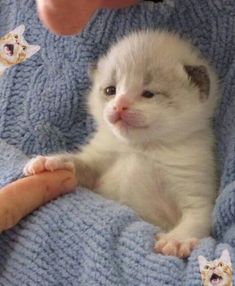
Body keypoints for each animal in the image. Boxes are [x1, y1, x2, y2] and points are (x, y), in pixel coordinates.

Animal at [23, 30, 218, 256]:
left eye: (148, 94)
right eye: (110, 91)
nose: (119, 106)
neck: (142, 148)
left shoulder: (194, 186)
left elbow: (196, 218)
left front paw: (177, 240)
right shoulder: (99, 162)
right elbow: (81, 164)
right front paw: (52, 161)